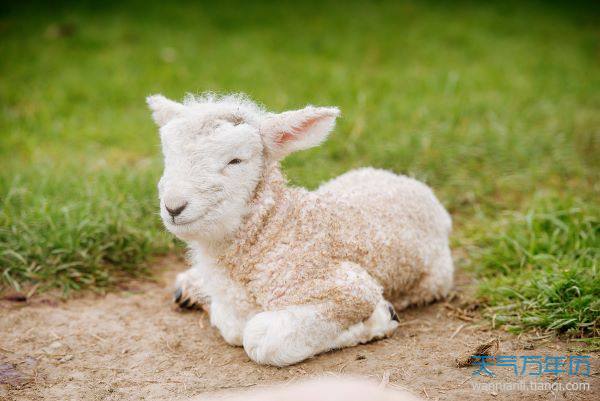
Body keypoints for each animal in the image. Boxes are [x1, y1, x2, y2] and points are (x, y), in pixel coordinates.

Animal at [148, 93, 452, 366]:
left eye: (236, 161)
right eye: (168, 157)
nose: (174, 207)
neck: (276, 230)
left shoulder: (348, 287)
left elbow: (258, 338)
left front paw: (380, 319)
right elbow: (232, 326)